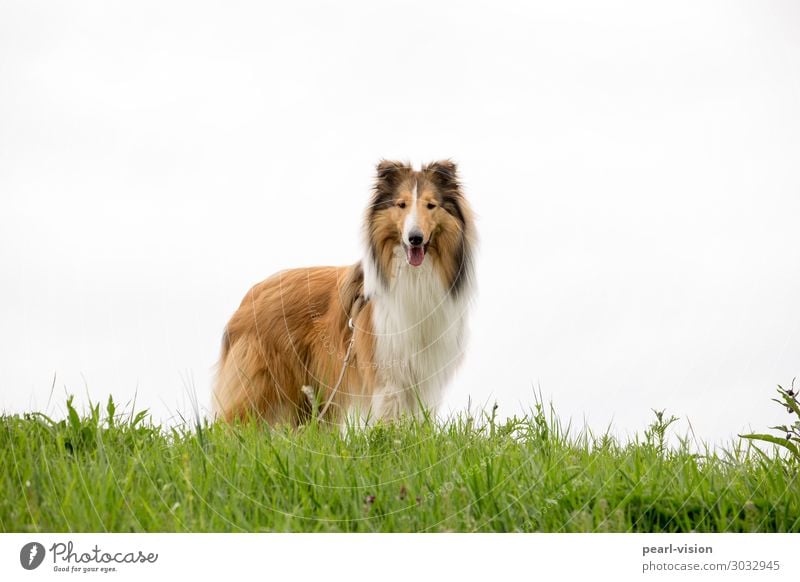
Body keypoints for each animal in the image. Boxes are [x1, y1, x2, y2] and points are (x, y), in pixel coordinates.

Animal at [212, 162, 476, 426]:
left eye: (431, 205)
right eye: (401, 205)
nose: (415, 239)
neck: (414, 275)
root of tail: (250, 296)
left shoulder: (425, 372)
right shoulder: (387, 371)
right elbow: (391, 415)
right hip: (261, 383)